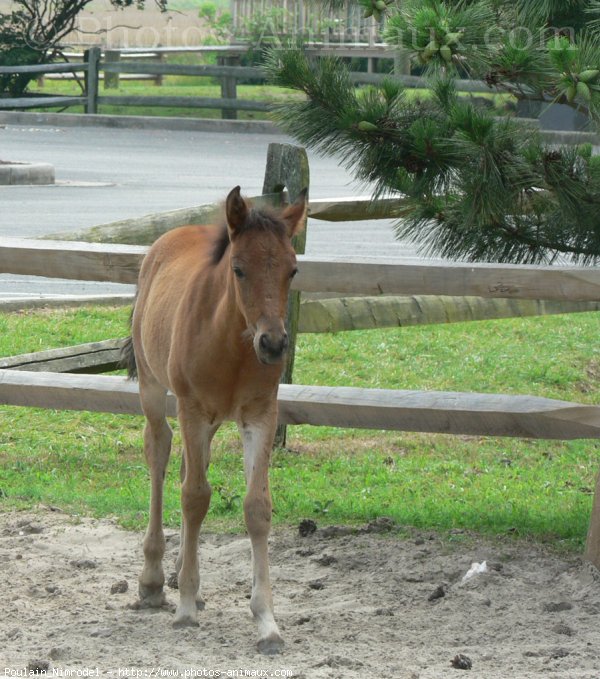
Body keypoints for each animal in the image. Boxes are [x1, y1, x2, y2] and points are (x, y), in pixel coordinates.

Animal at [123, 185, 308, 652]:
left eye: (293, 270)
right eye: (238, 269)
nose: (273, 344)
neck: (232, 343)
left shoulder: (260, 414)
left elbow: (256, 506)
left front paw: (267, 621)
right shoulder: (191, 407)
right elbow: (194, 497)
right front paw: (186, 607)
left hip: (210, 420)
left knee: (190, 466)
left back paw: (184, 578)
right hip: (154, 389)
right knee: (160, 453)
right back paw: (154, 581)